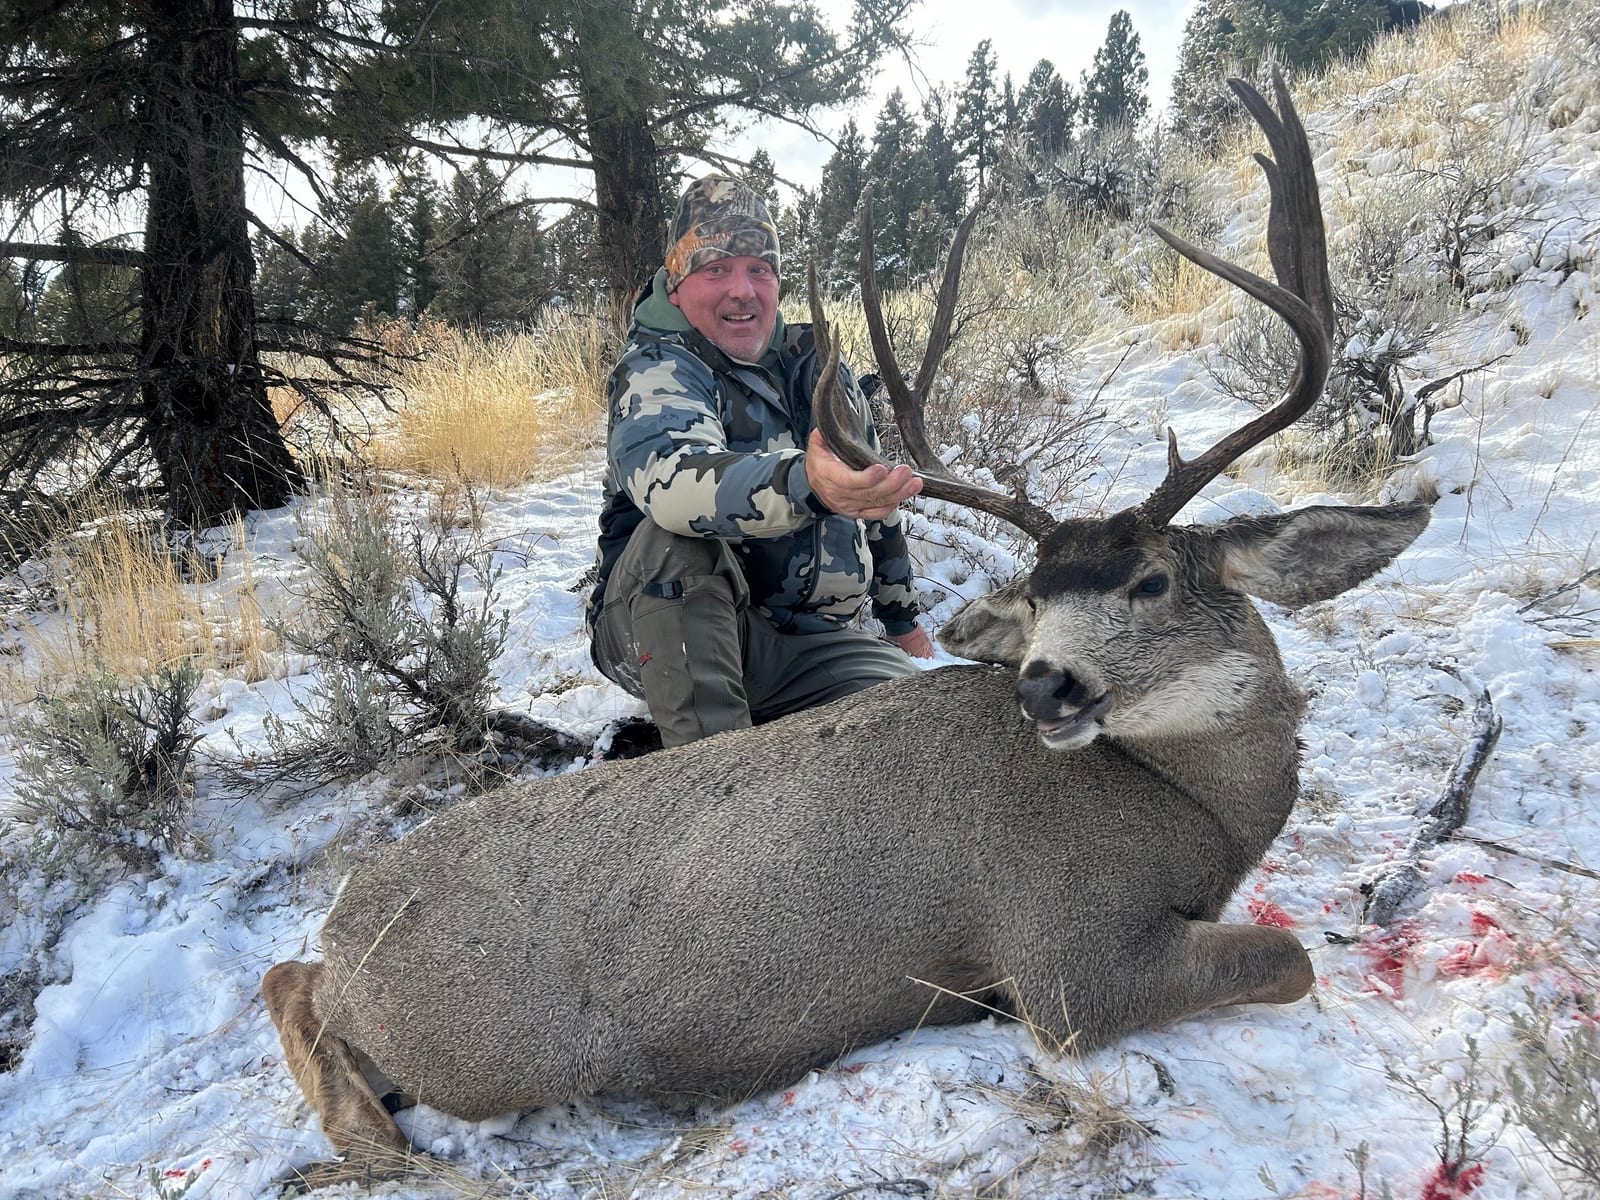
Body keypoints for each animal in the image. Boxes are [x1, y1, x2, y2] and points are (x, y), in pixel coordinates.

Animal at [261, 75, 1429, 1187]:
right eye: (1038, 596)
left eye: (1148, 581)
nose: (1042, 684)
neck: (1194, 811)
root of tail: (351, 910)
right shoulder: (1067, 954)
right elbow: (1292, 959)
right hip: (482, 1040)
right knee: (304, 997)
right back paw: (396, 1149)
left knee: (289, 974)